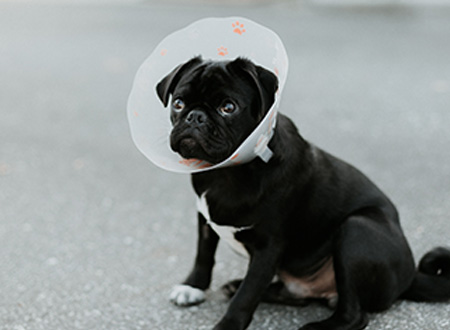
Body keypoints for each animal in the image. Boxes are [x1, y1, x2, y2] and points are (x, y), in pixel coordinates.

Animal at [156, 55, 450, 328]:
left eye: (228, 107)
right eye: (178, 103)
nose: (195, 116)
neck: (226, 172)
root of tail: (409, 277)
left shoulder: (267, 248)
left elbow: (247, 295)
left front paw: (226, 325)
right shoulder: (204, 218)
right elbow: (203, 254)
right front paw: (193, 286)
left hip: (357, 229)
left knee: (354, 314)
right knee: (298, 296)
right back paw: (242, 286)